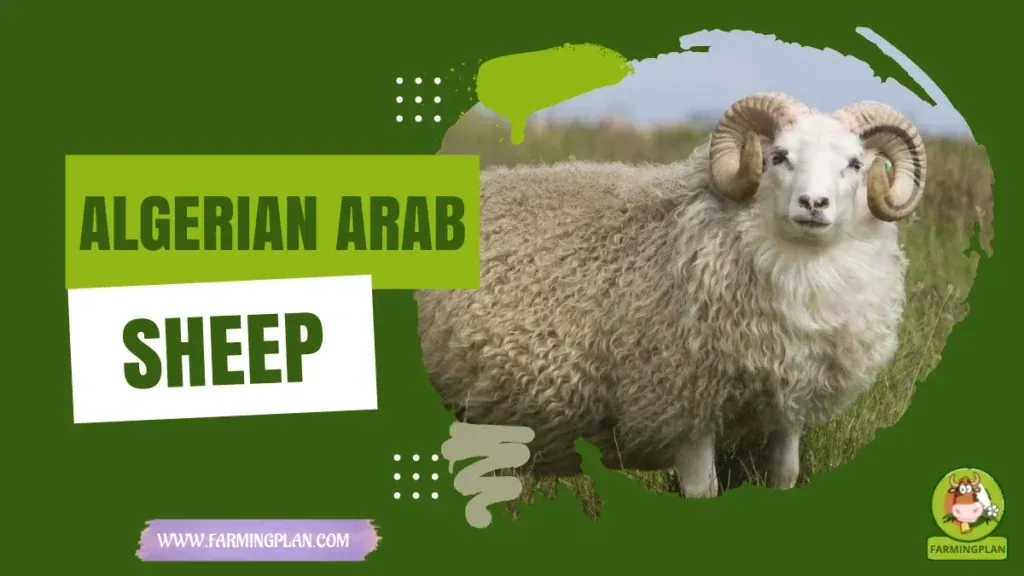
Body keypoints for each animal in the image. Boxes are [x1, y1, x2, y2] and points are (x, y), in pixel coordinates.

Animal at [416, 92, 928, 498]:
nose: (813, 204)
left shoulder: (788, 409)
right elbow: (703, 492)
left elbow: (785, 476)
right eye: (779, 156)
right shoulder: (684, 408)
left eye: (855, 164)